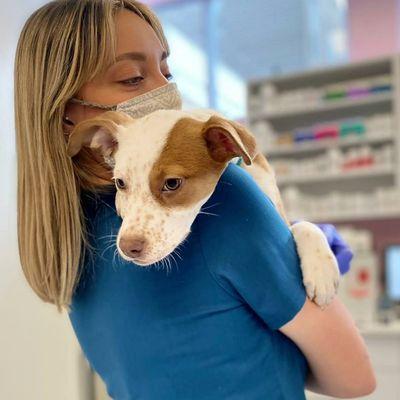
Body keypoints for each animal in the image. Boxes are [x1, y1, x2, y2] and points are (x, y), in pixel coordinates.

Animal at [67, 108, 340, 306]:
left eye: (172, 183)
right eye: (120, 183)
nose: (128, 247)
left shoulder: (281, 214)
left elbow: (306, 224)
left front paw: (322, 271)